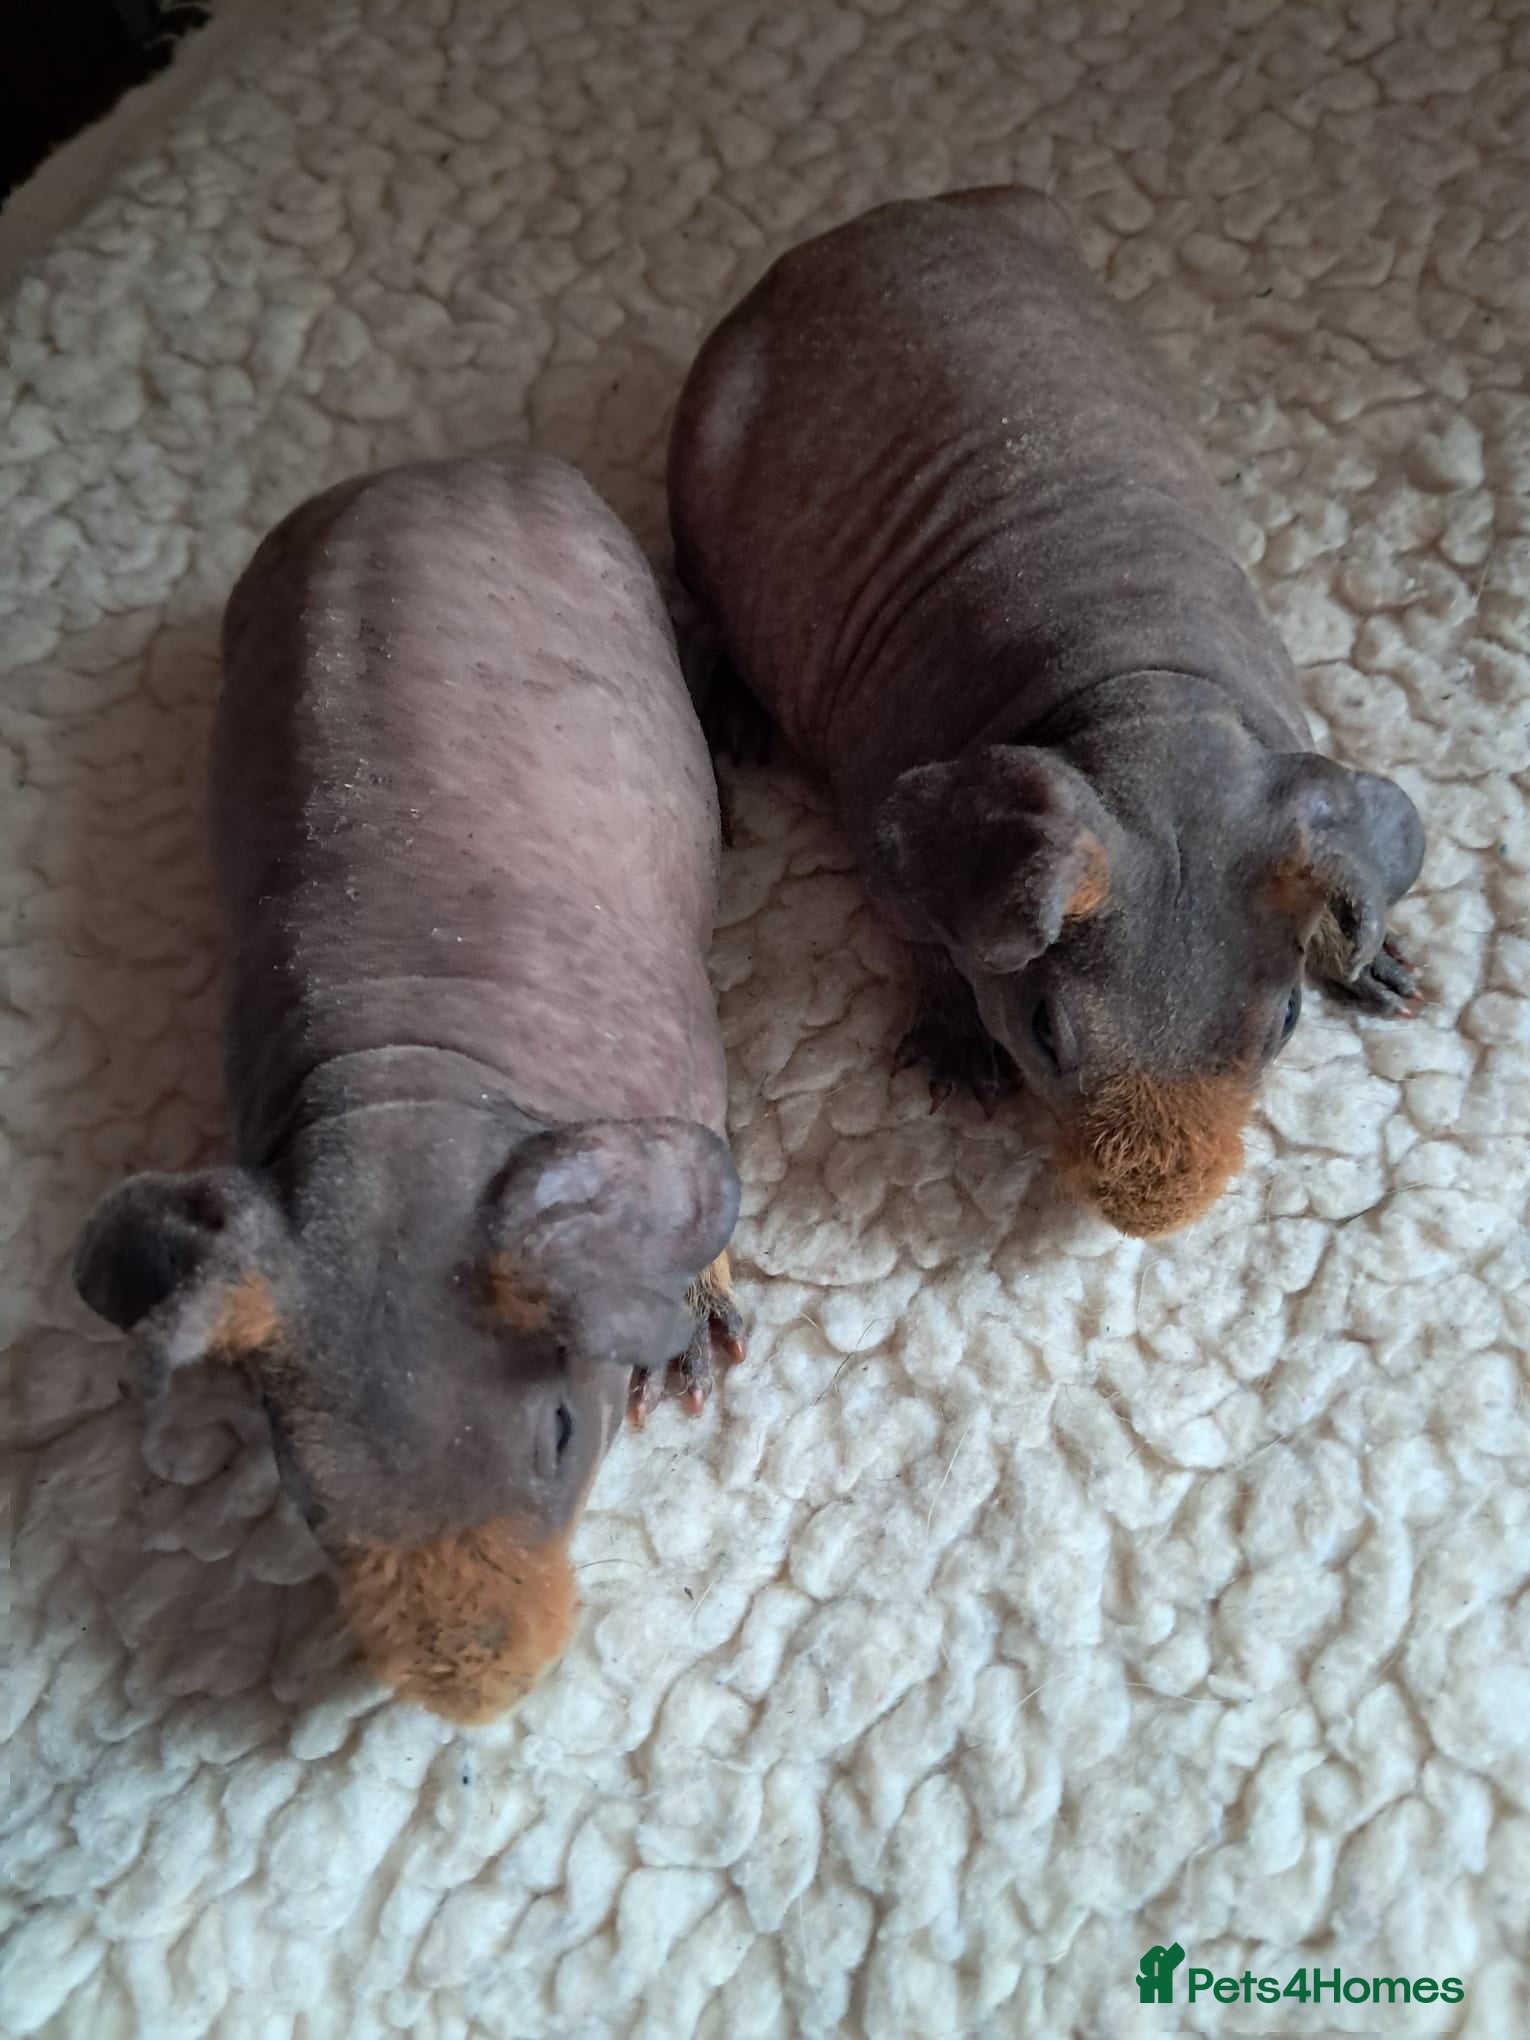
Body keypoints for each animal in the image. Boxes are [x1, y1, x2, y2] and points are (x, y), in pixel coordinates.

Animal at [74, 450, 744, 1722]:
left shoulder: (688, 1064)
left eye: (562, 1434)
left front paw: (692, 1342)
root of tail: (429, 466)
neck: (409, 1090)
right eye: (306, 1495)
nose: (471, 1691)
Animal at [668, 186, 1424, 1238]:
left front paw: (1370, 955)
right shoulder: (884, 819)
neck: (1138, 684)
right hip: (701, 466)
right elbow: (922, 933)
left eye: (1284, 1026)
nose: (1154, 1213)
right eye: (1041, 1033)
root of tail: (866, 225)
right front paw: (954, 1032)